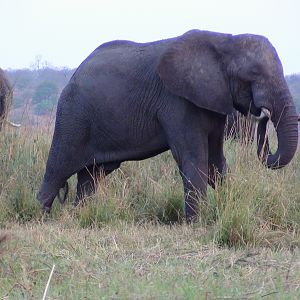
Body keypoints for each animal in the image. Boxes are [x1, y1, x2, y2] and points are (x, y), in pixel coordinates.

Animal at [37, 29, 298, 223]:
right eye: (254, 73)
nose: (262, 112)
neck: (224, 40)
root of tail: (74, 73)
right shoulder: (177, 101)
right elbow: (194, 158)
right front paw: (196, 225)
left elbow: (215, 162)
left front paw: (226, 207)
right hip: (73, 116)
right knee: (58, 168)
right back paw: (41, 216)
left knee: (91, 176)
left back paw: (81, 216)